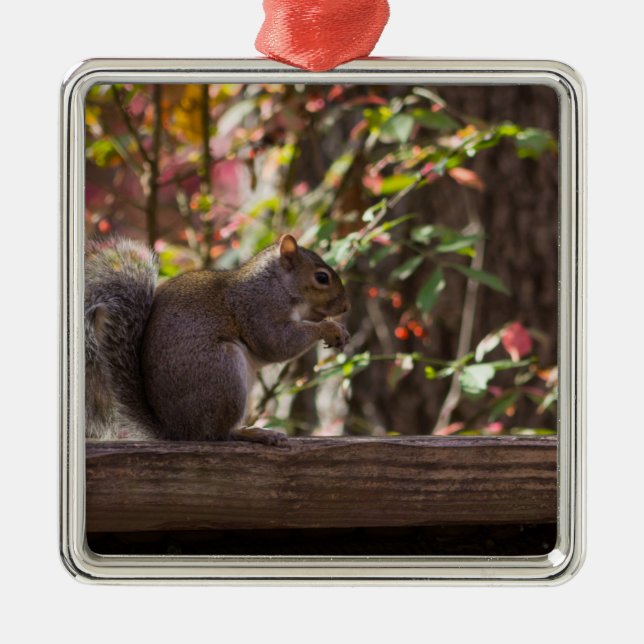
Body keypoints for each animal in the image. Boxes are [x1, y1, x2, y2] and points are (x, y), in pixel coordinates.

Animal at [85, 234, 350, 444]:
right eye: (322, 278)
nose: (346, 307)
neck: (276, 283)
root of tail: (177, 431)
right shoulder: (259, 309)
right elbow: (277, 343)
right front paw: (329, 328)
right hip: (224, 373)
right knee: (217, 434)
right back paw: (251, 433)